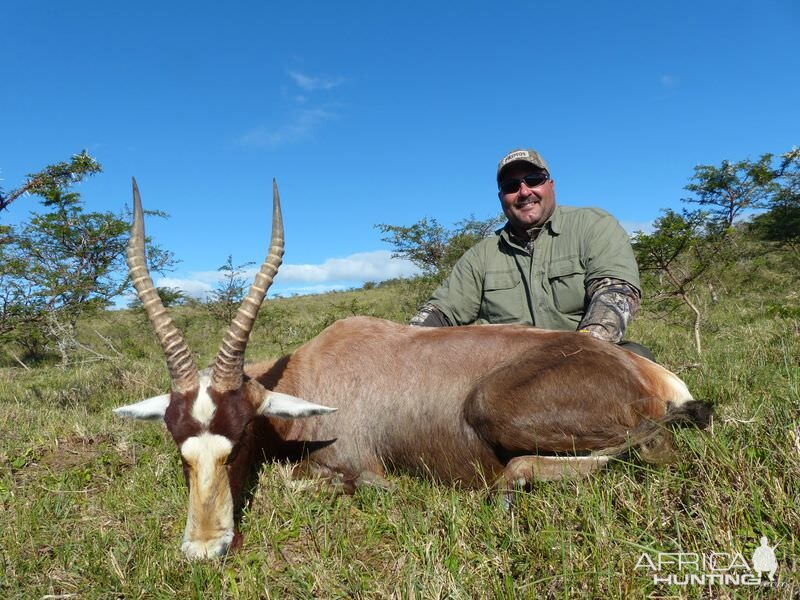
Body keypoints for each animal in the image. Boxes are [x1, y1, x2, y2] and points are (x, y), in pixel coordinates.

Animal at [114, 177, 712, 556]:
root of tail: (644, 372)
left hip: (501, 410)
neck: (313, 367)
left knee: (651, 447)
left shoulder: (351, 464)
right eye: (180, 447)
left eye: (237, 441)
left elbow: (313, 483)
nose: (203, 548)